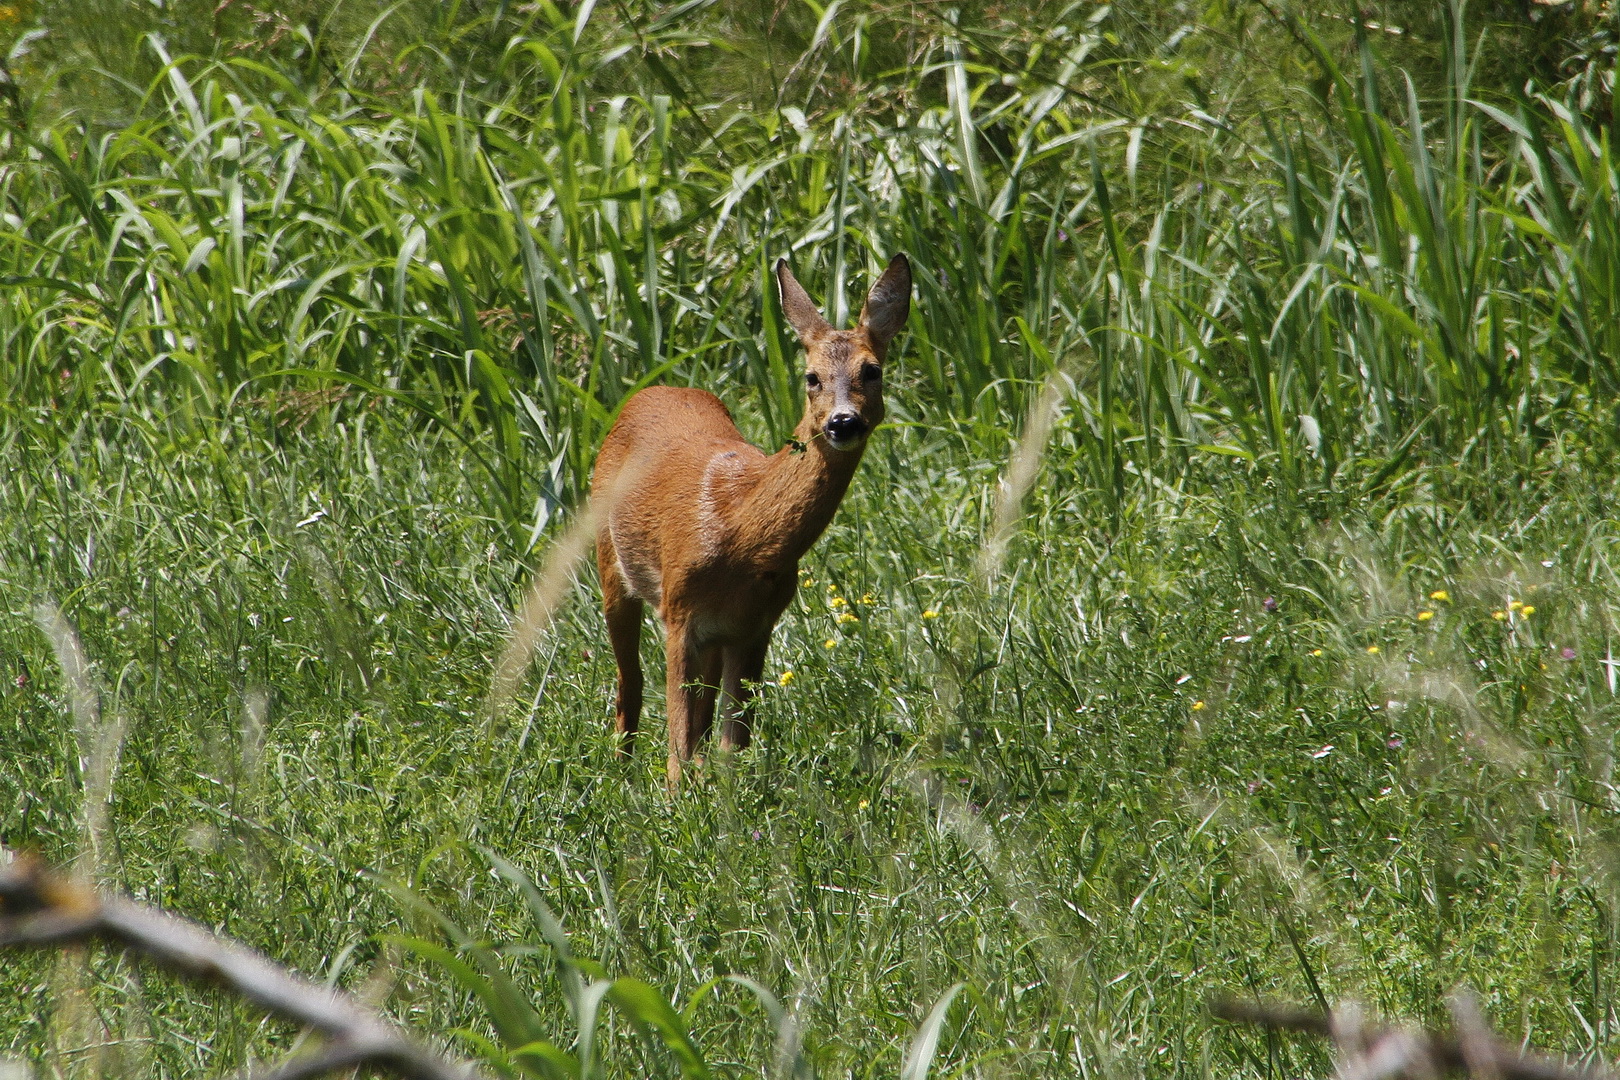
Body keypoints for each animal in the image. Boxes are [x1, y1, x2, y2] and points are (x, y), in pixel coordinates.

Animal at [589, 257, 913, 790]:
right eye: (811, 377)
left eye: (873, 370)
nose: (843, 422)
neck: (740, 535)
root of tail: (653, 390)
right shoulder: (679, 612)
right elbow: (677, 739)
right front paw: (675, 797)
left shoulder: (755, 625)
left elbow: (731, 742)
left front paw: (725, 797)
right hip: (611, 564)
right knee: (630, 680)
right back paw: (621, 768)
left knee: (698, 712)